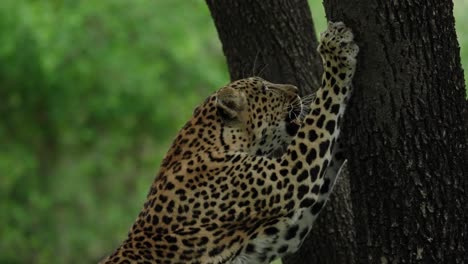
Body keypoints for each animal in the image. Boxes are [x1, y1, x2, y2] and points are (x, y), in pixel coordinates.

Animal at [101, 21, 358, 264]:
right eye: (265, 88)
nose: (295, 89)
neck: (216, 141)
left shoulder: (274, 236)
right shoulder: (288, 176)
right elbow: (321, 111)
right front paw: (335, 50)